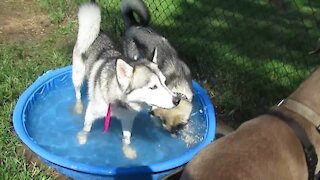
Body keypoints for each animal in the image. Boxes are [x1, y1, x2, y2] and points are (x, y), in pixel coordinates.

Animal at [71, 2, 180, 158]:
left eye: (164, 82)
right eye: (153, 87)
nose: (177, 100)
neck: (119, 103)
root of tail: (98, 32)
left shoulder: (128, 119)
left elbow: (127, 138)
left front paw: (127, 151)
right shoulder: (91, 112)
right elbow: (86, 129)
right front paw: (82, 138)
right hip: (78, 75)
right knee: (78, 93)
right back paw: (78, 105)